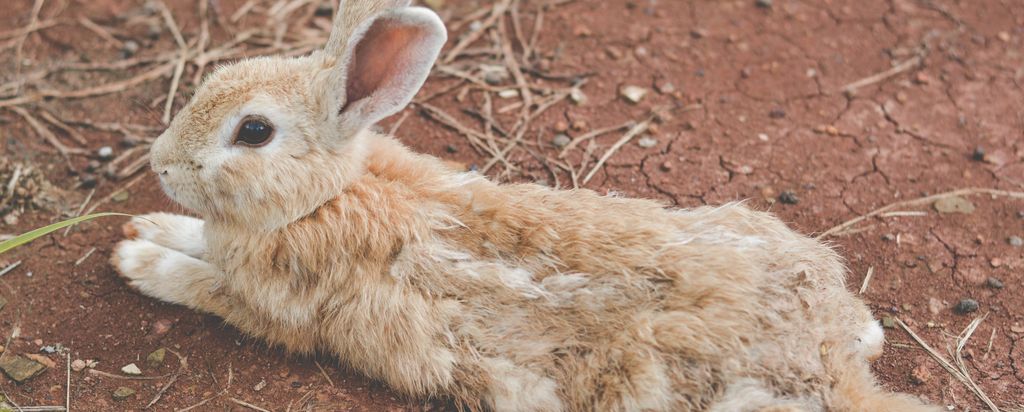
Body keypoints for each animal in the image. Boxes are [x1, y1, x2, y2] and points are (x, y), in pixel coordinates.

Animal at [111, 1, 941, 411]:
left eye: (252, 131)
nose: (159, 163)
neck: (324, 196)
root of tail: (827, 366)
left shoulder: (273, 308)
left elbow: (200, 283)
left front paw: (137, 257)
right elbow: (198, 238)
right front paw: (150, 226)